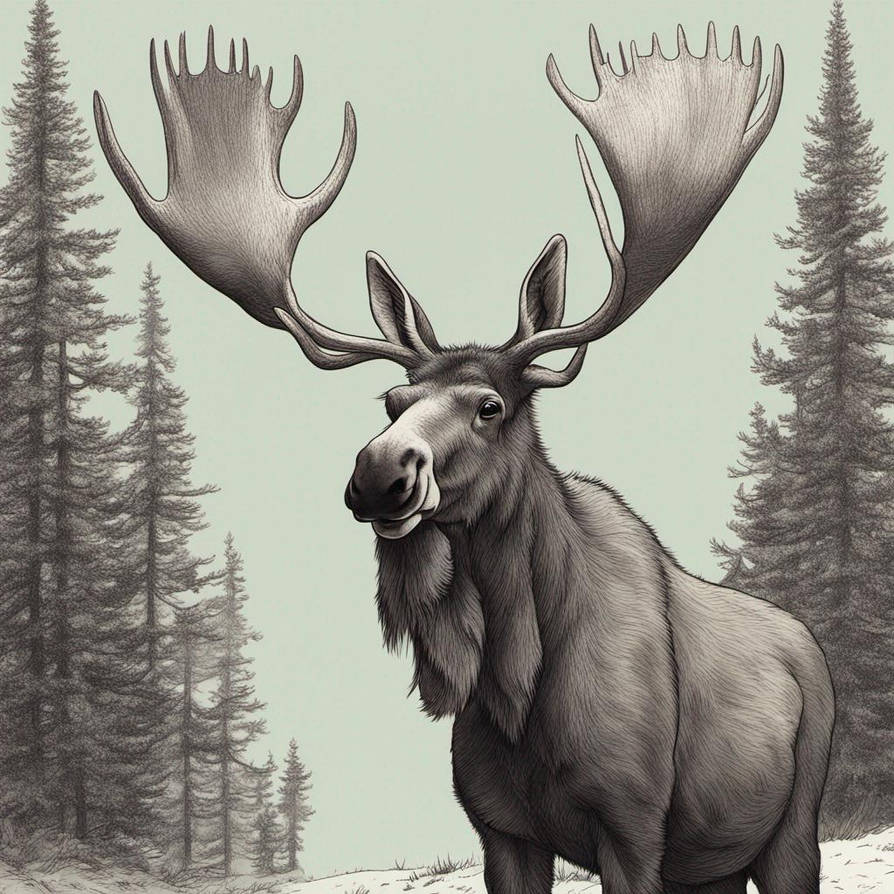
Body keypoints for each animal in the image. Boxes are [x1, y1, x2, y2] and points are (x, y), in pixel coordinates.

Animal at [93, 22, 835, 894]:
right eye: (391, 401)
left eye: (490, 406)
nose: (379, 474)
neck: (520, 689)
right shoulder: (499, 829)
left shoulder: (635, 828)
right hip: (712, 864)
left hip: (792, 828)